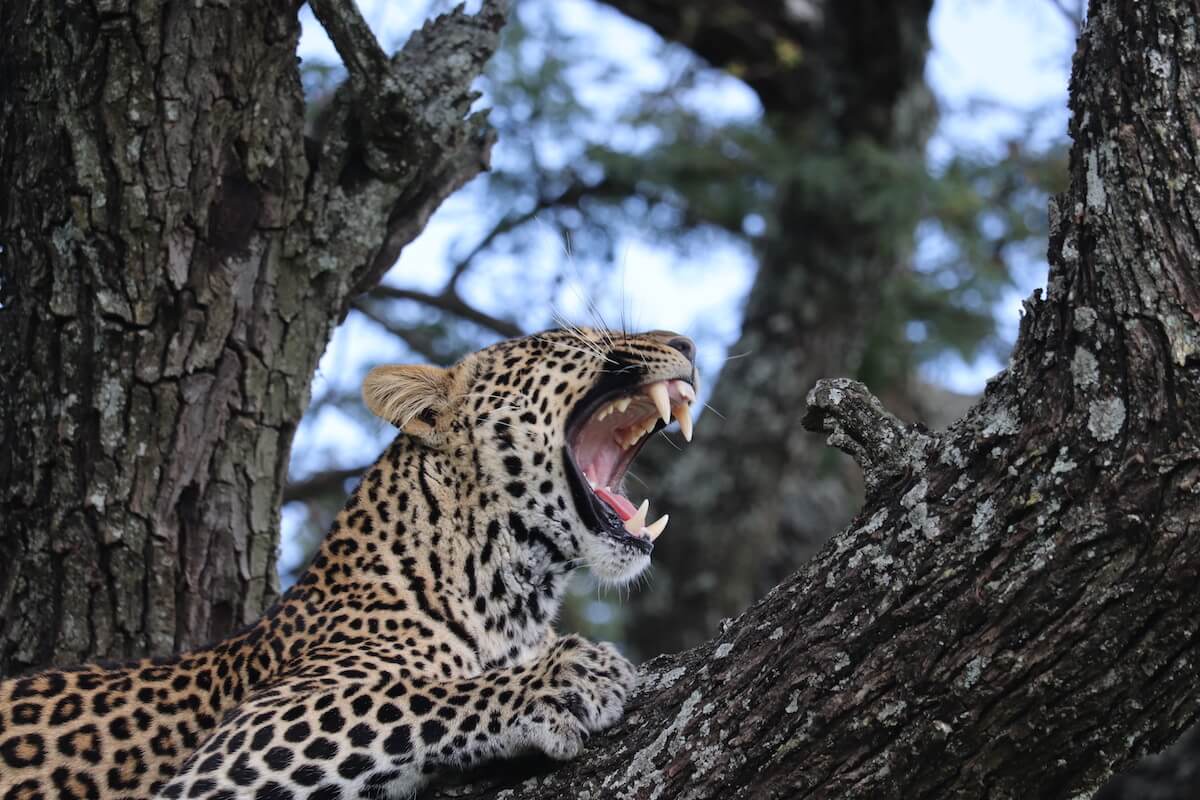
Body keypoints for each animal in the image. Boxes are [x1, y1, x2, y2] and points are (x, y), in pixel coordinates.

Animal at [0, 327, 699, 800]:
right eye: (584, 340)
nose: (687, 344)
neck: (514, 596)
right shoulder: (229, 755)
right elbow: (408, 696)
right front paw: (563, 679)